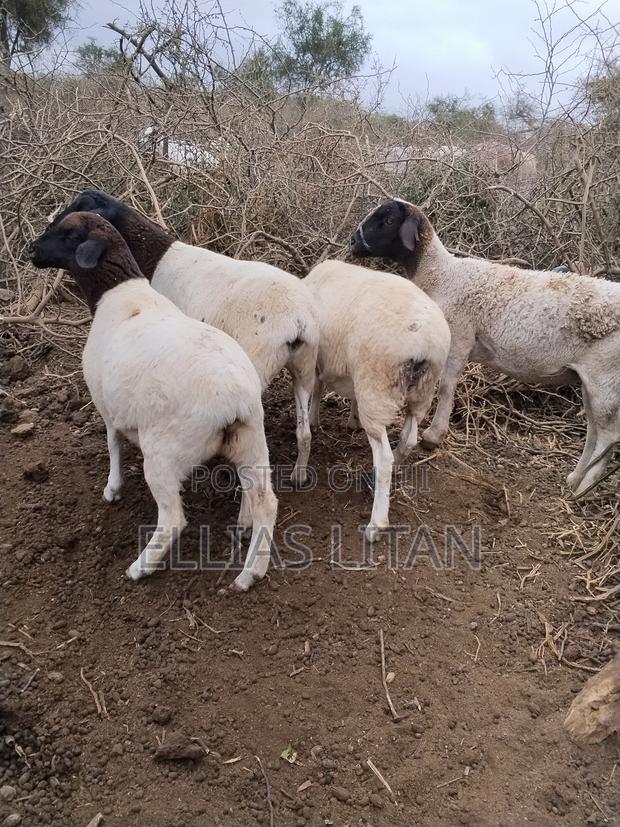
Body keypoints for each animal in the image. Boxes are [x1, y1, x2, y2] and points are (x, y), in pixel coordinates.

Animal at [29, 211, 278, 591]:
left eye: (66, 233)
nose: (31, 249)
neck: (119, 296)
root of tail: (235, 397)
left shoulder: (107, 405)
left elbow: (113, 444)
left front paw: (113, 488)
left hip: (164, 452)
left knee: (174, 519)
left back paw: (142, 566)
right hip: (250, 440)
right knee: (266, 502)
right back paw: (250, 572)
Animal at [51, 190, 320, 485]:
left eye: (77, 211)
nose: (34, 246)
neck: (156, 258)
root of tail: (298, 320)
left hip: (257, 365)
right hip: (303, 367)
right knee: (304, 432)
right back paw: (299, 473)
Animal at [305, 260, 450, 540]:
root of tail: (424, 344)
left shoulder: (320, 359)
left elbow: (316, 388)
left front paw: (314, 420)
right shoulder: (351, 373)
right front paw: (351, 420)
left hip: (376, 386)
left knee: (383, 458)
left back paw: (376, 523)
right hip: (420, 392)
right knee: (408, 439)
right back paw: (391, 468)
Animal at [351, 198, 620, 497]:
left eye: (387, 220)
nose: (353, 241)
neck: (441, 275)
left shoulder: (459, 337)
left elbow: (446, 387)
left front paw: (433, 436)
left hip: (606, 376)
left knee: (608, 437)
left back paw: (584, 488)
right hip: (590, 381)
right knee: (595, 430)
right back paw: (574, 479)